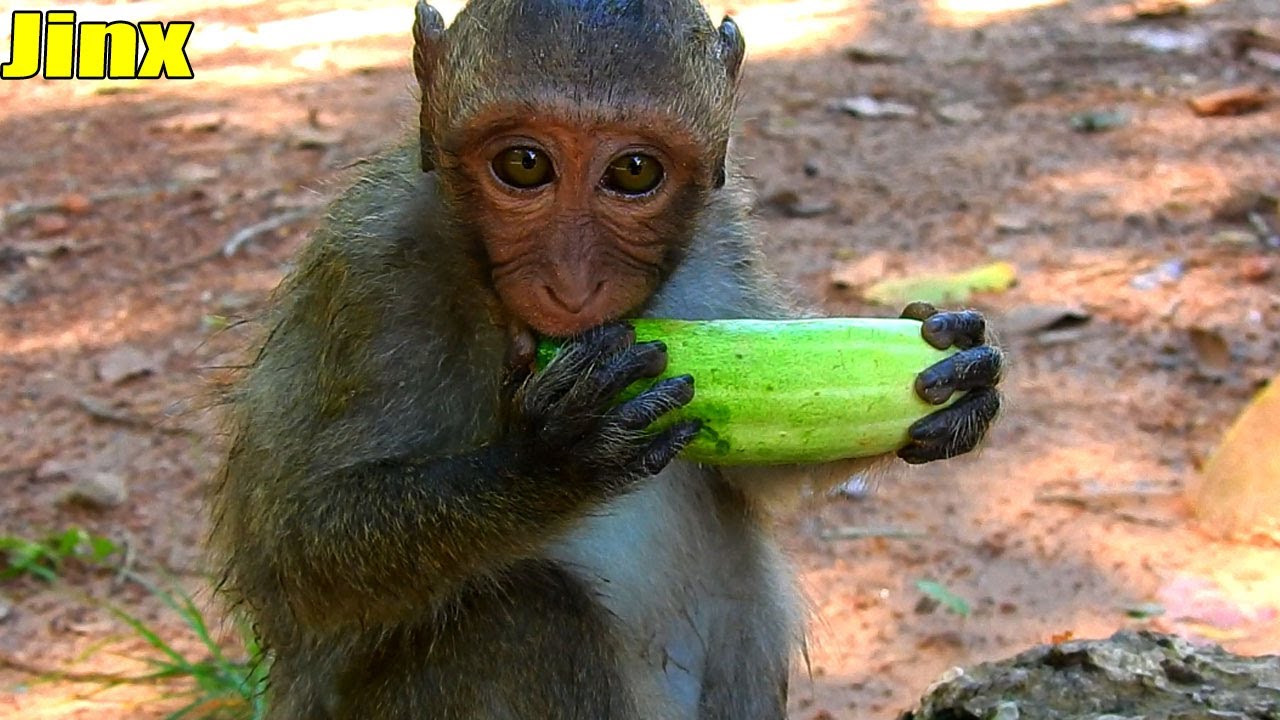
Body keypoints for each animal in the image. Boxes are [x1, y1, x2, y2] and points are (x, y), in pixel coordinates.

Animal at [208, 0, 1003, 717]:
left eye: (634, 172)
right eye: (524, 164)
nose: (572, 281)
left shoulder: (723, 239)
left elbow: (755, 466)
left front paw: (954, 371)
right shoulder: (374, 271)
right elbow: (294, 552)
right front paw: (552, 464)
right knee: (524, 617)